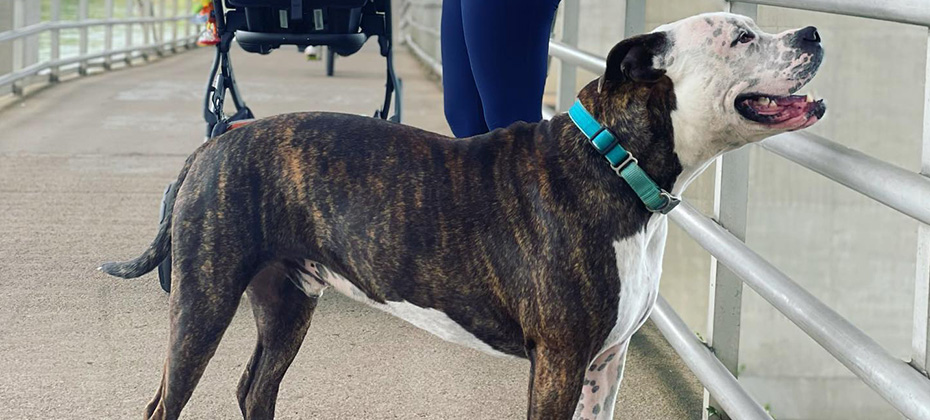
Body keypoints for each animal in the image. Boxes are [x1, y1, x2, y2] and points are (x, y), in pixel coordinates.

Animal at [101, 12, 824, 420]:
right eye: (743, 37)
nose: (814, 31)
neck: (614, 163)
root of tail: (215, 143)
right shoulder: (560, 363)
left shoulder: (605, 364)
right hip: (204, 300)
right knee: (165, 403)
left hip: (286, 303)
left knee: (256, 390)